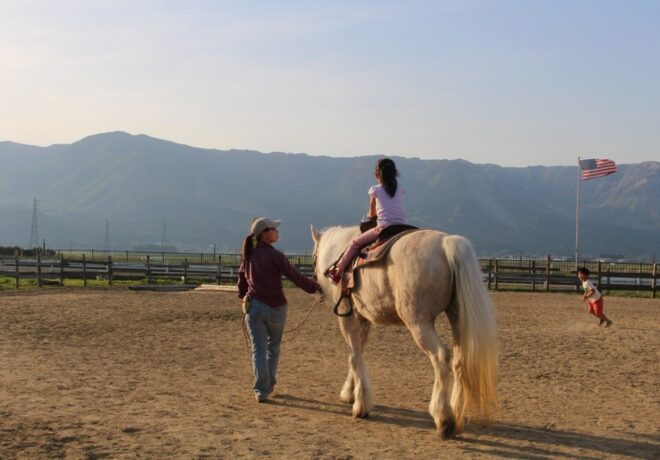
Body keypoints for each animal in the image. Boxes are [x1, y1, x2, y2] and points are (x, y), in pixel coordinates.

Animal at [312, 226, 498, 438]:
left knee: (441, 356)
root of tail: (446, 243)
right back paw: (456, 416)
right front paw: (349, 394)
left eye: (313, 256)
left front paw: (360, 405)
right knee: (459, 362)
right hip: (457, 317)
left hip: (419, 322)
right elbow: (358, 354)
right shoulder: (363, 319)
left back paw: (443, 418)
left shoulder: (346, 315)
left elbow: (353, 357)